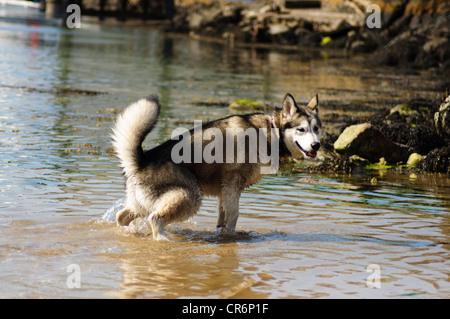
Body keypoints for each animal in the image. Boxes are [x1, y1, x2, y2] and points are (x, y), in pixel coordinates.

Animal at [111, 94, 322, 241]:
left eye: (317, 128)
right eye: (301, 129)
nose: (316, 145)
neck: (271, 132)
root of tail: (141, 161)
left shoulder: (225, 190)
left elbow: (223, 218)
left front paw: (222, 234)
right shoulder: (232, 184)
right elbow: (234, 216)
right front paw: (232, 237)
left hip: (144, 203)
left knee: (122, 216)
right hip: (189, 197)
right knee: (154, 219)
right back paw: (163, 239)